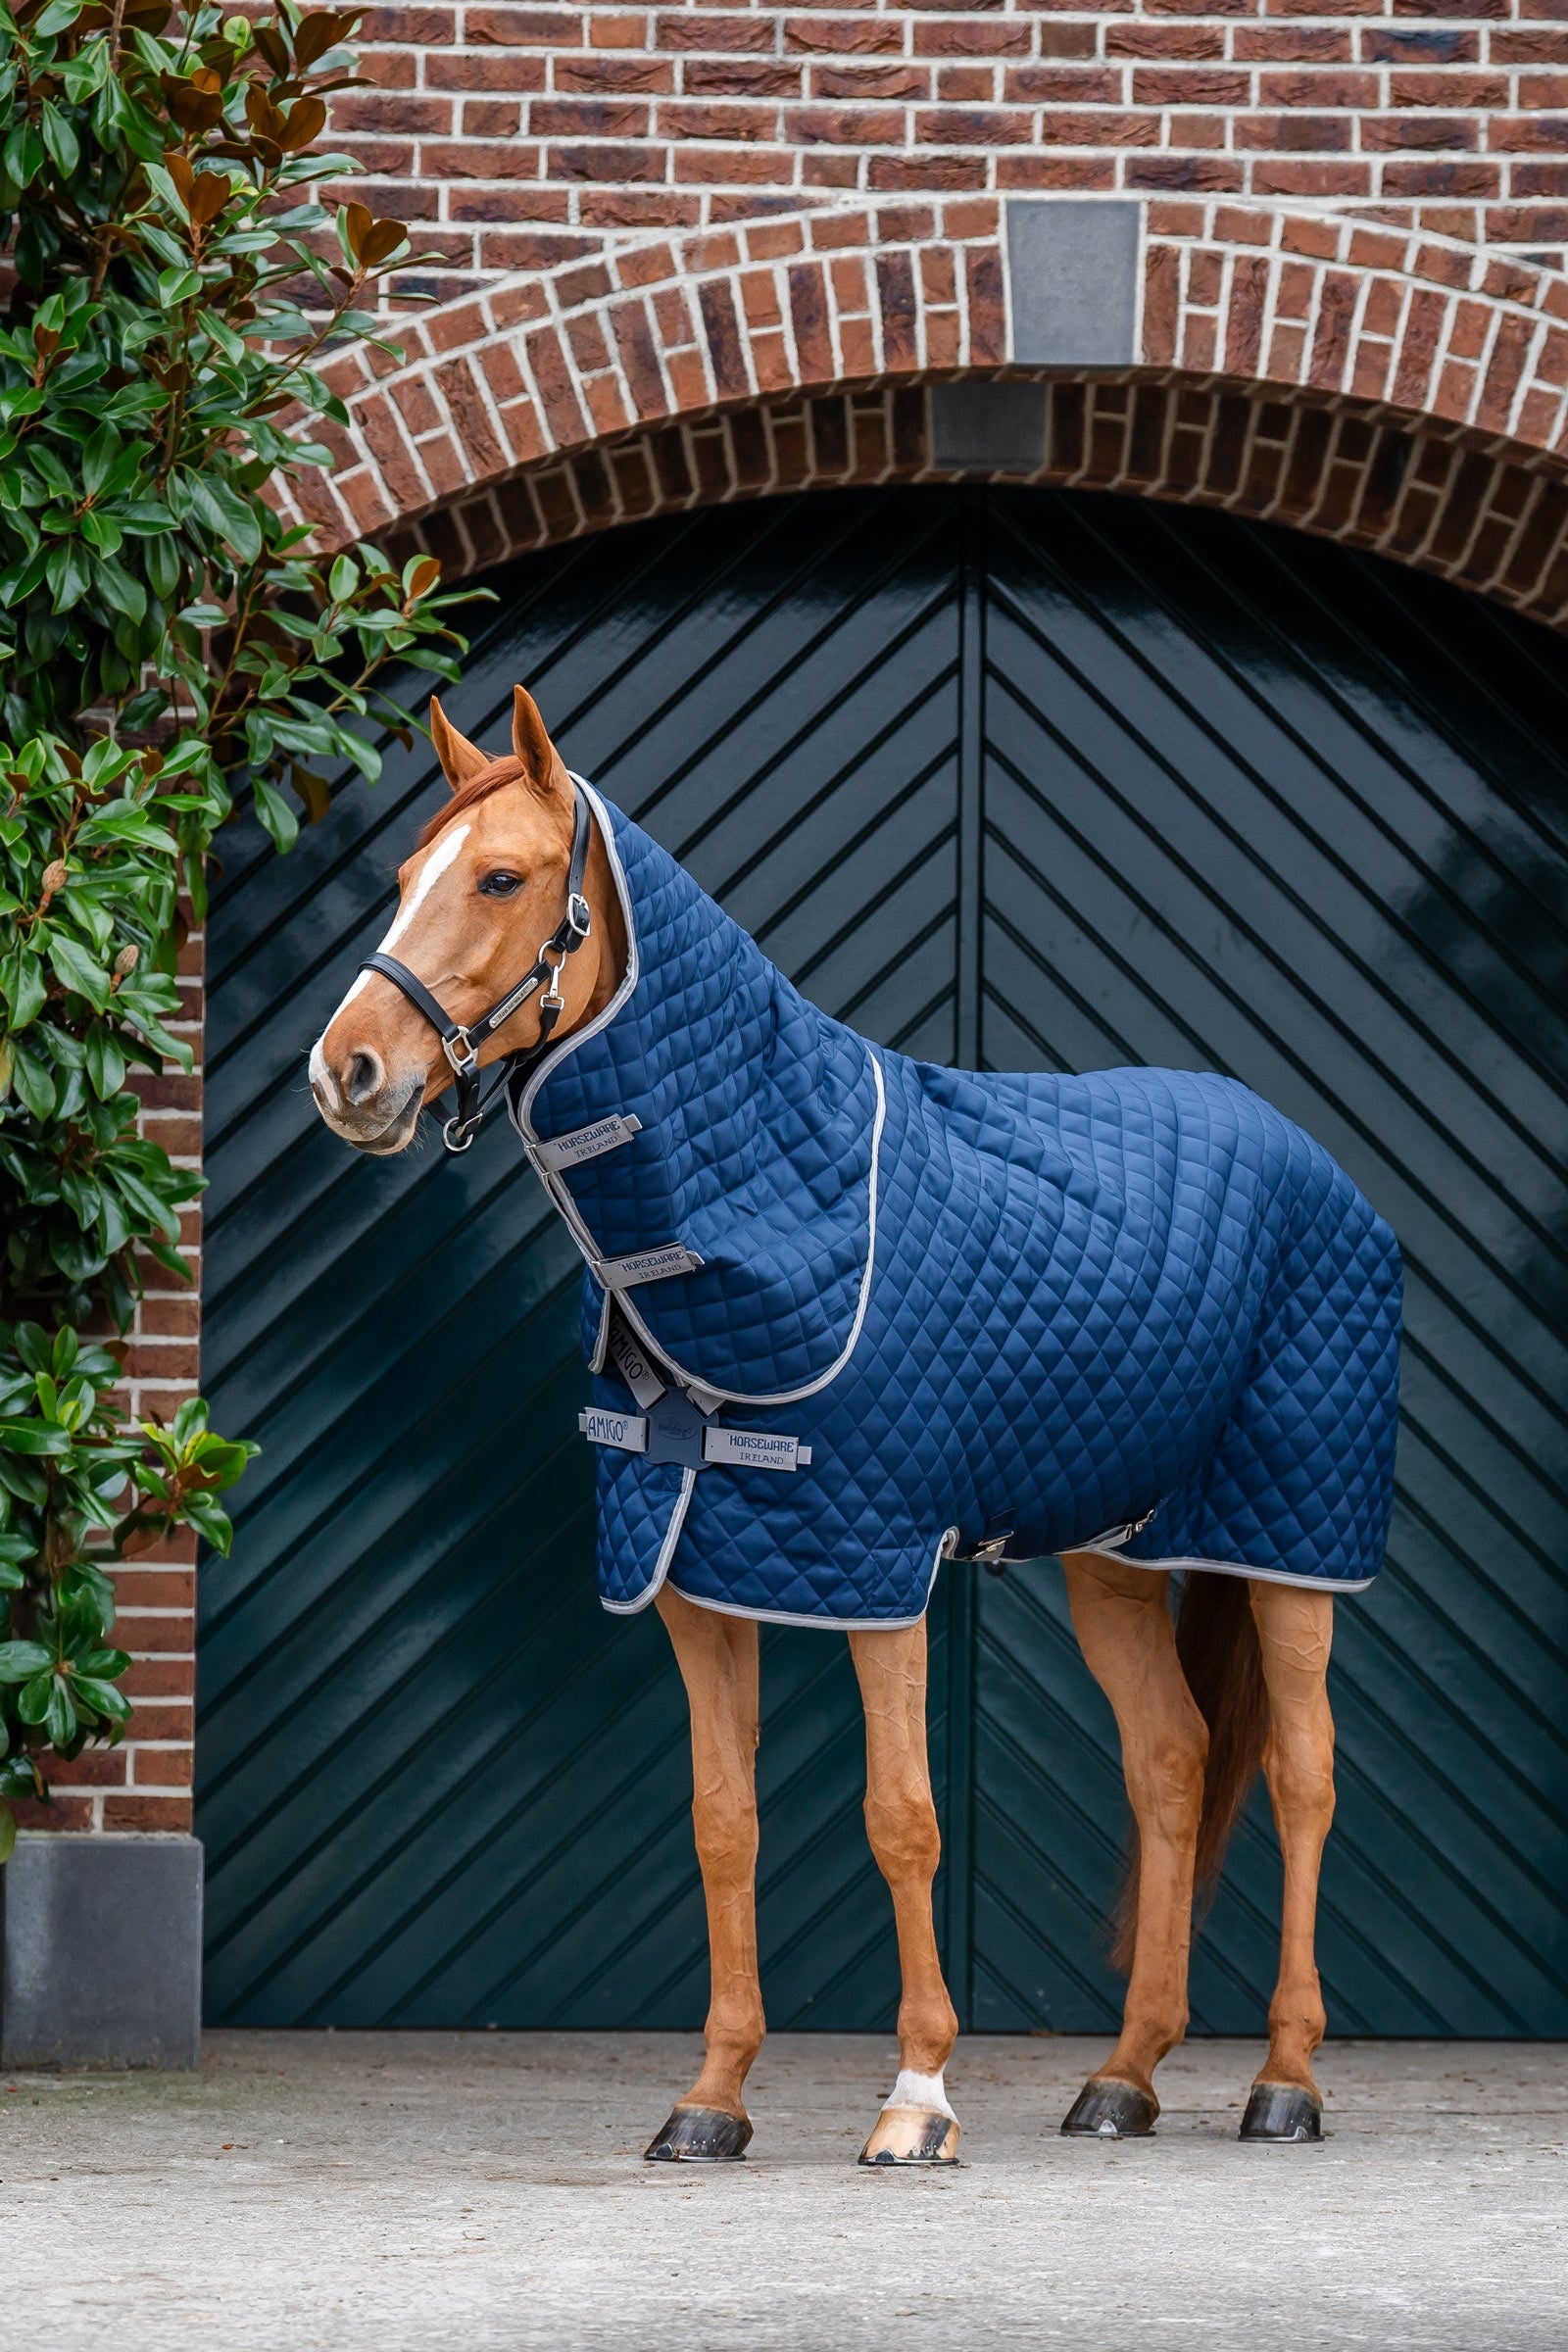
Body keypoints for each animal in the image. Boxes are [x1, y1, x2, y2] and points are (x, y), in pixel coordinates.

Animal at [309, 685, 1402, 2164]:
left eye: (500, 877)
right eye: (402, 876)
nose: (347, 1073)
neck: (777, 1209)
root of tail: (1315, 1166)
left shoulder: (875, 1566)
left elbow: (903, 1819)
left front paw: (917, 2097)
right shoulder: (695, 1576)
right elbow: (723, 1821)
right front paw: (710, 2101)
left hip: (1292, 1543)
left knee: (1303, 1774)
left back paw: (1286, 2080)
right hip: (1117, 1551)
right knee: (1172, 1762)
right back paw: (1123, 2078)